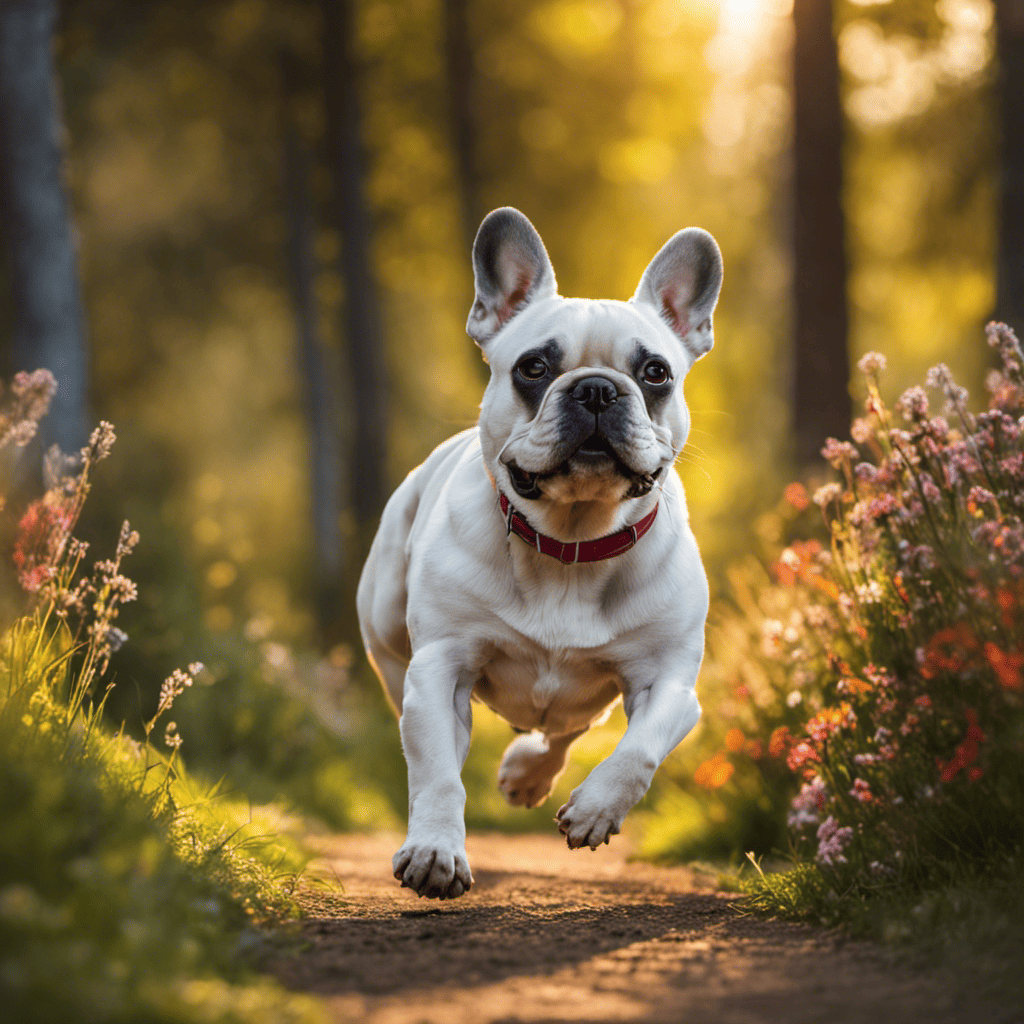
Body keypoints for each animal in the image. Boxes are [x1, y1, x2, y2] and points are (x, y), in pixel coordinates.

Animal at [358, 207, 720, 897]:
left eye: (655, 373)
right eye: (533, 367)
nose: (598, 389)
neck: (570, 542)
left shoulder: (668, 682)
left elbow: (639, 750)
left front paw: (596, 808)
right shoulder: (440, 669)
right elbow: (437, 771)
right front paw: (435, 850)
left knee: (565, 727)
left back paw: (528, 772)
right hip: (388, 634)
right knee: (425, 728)